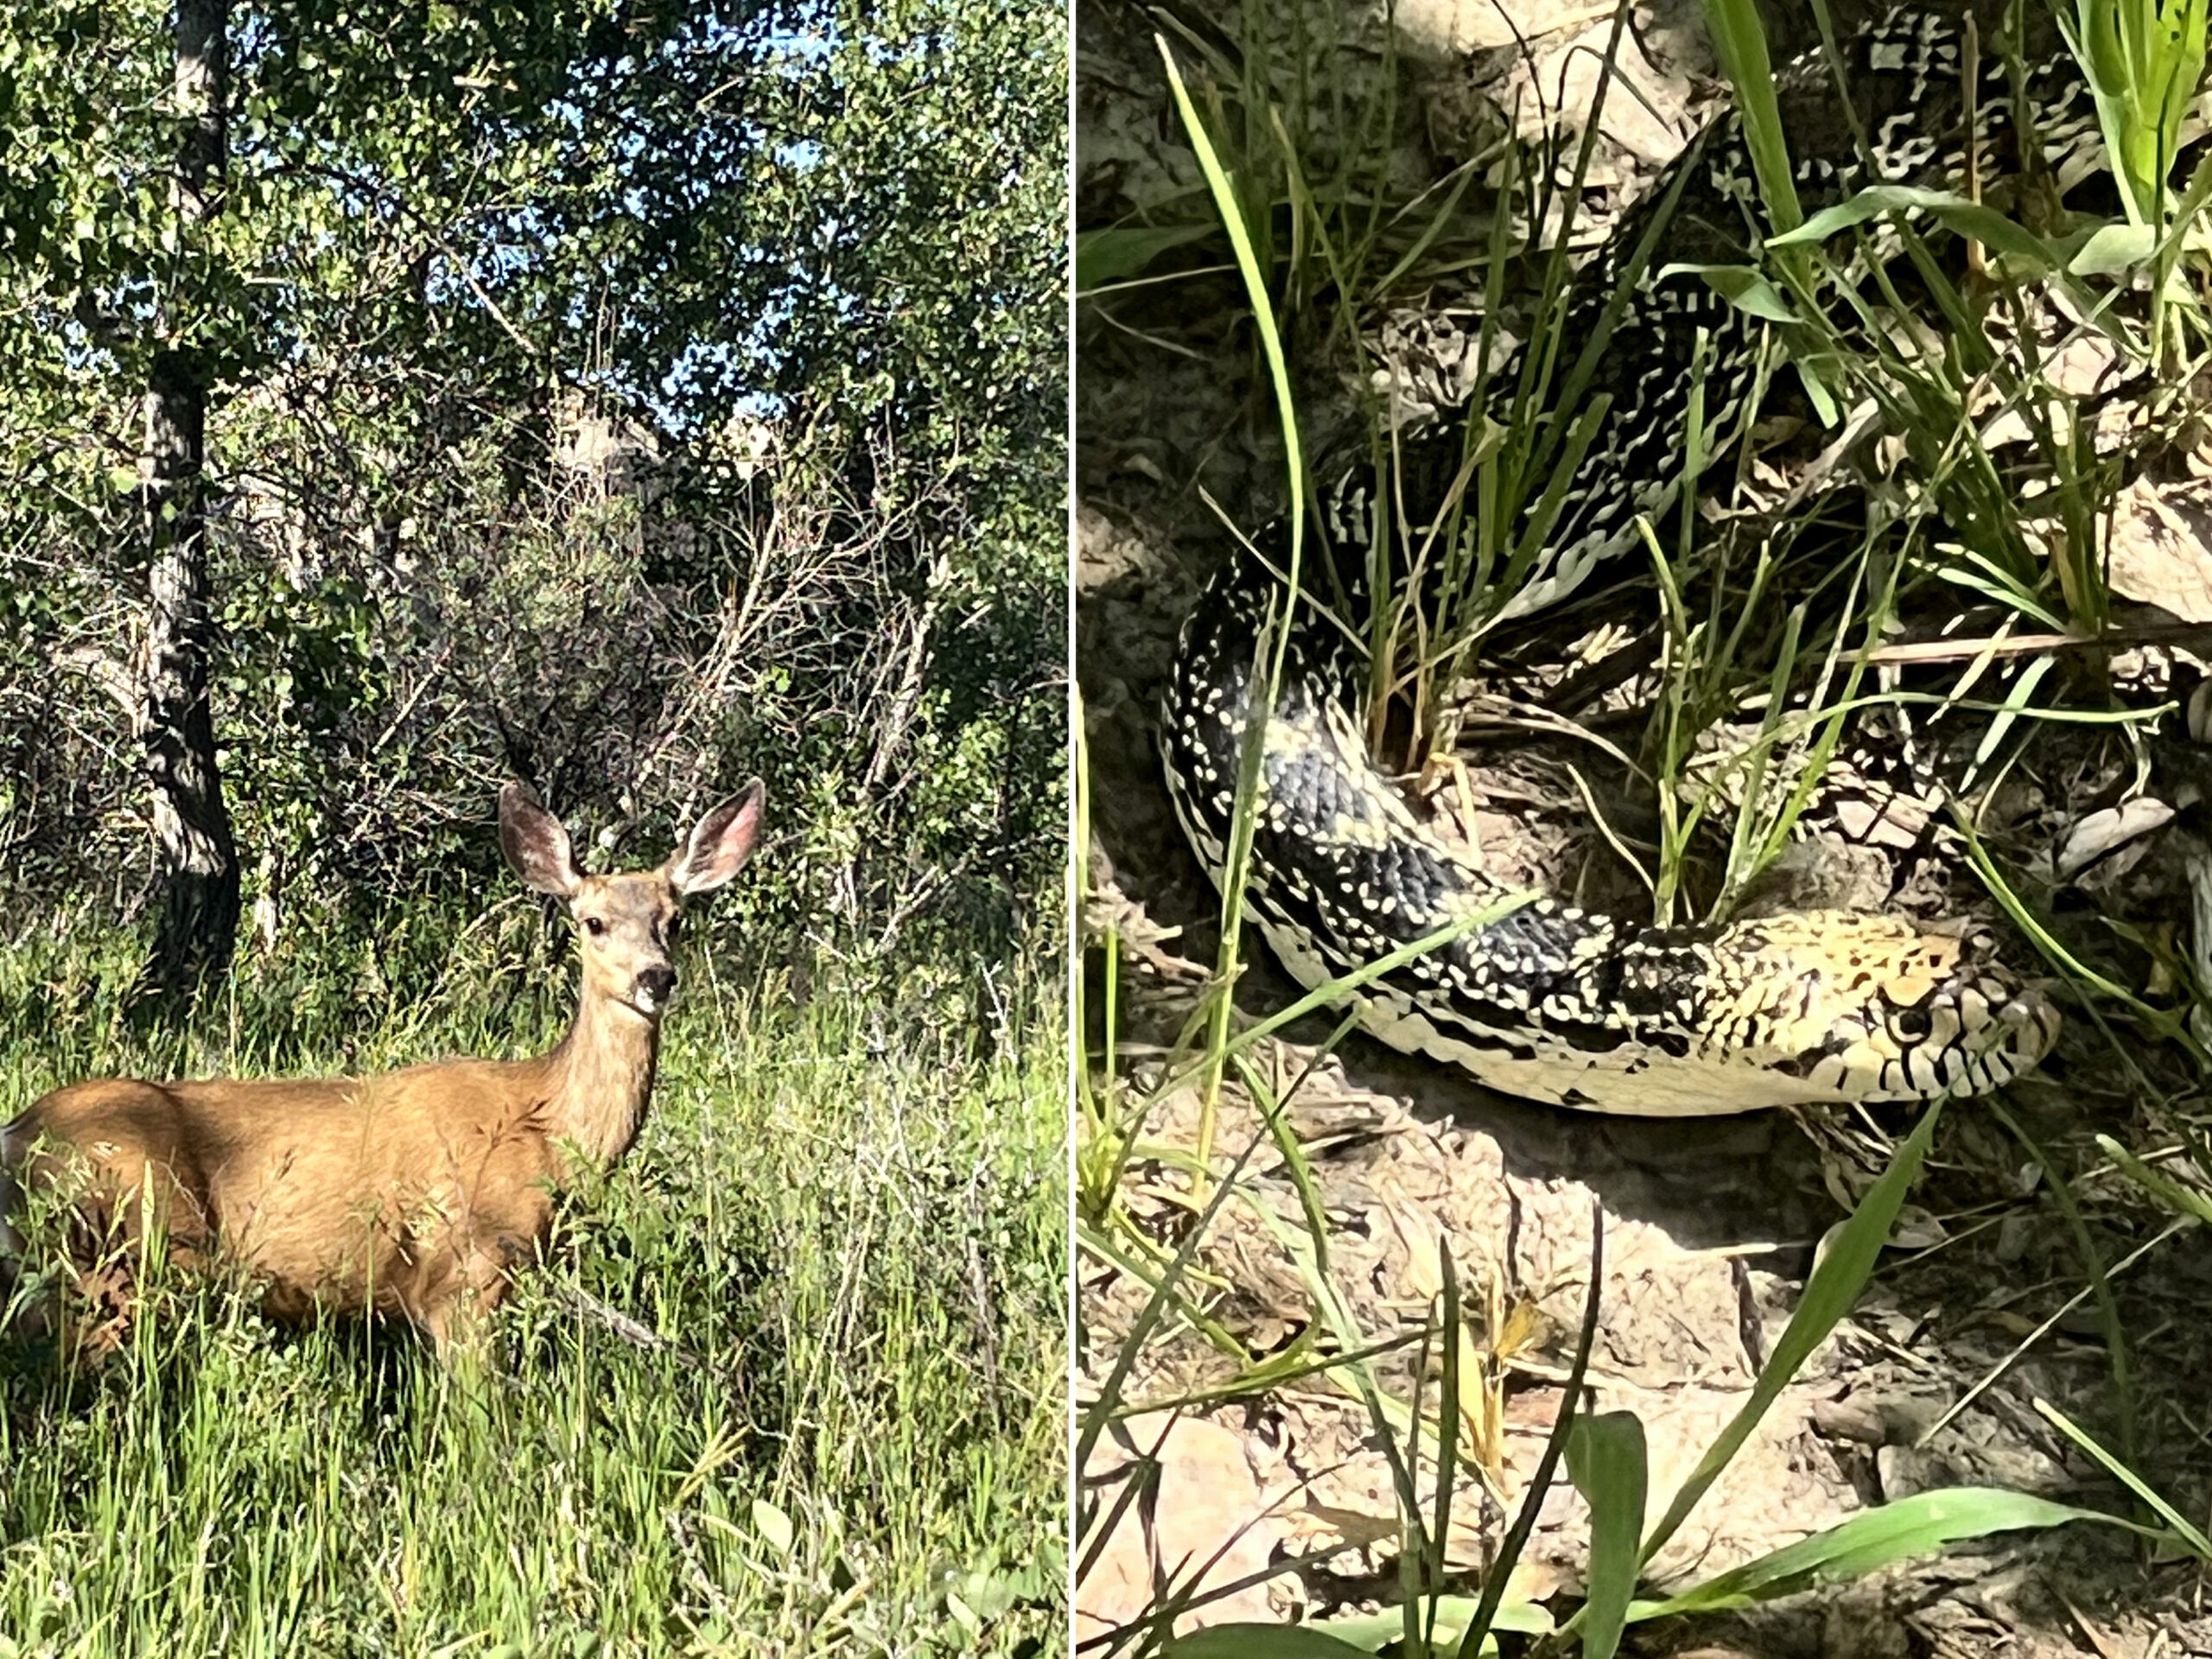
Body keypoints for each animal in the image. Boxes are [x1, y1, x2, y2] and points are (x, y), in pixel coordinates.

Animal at [0, 783, 765, 1362]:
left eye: (675, 918)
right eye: (593, 922)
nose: (655, 978)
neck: (545, 1125)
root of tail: (17, 1137)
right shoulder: (462, 1275)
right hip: (124, 1250)